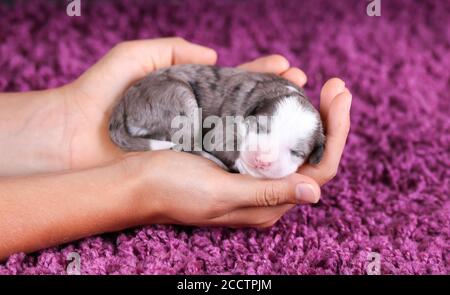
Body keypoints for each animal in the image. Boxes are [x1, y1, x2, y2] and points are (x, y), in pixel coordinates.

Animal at [110, 65, 326, 179]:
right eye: (259, 127)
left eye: (297, 153)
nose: (260, 161)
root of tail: (125, 99)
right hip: (179, 97)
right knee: (186, 145)